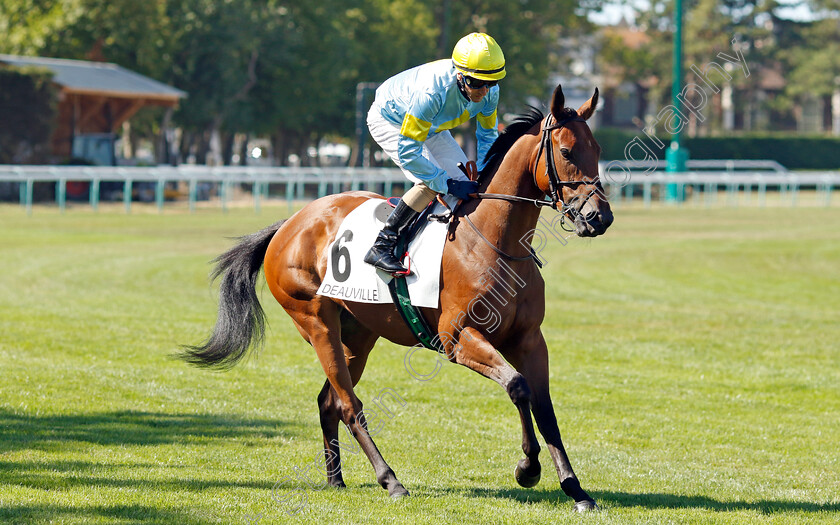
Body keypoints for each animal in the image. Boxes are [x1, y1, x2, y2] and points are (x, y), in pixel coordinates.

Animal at [184, 84, 612, 510]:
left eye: (598, 150)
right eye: (567, 152)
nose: (600, 218)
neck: (493, 243)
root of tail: (290, 223)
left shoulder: (529, 339)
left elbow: (545, 409)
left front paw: (575, 489)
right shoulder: (459, 338)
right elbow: (519, 388)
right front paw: (527, 468)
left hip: (358, 334)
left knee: (328, 401)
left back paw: (335, 479)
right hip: (317, 322)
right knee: (349, 405)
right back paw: (390, 480)